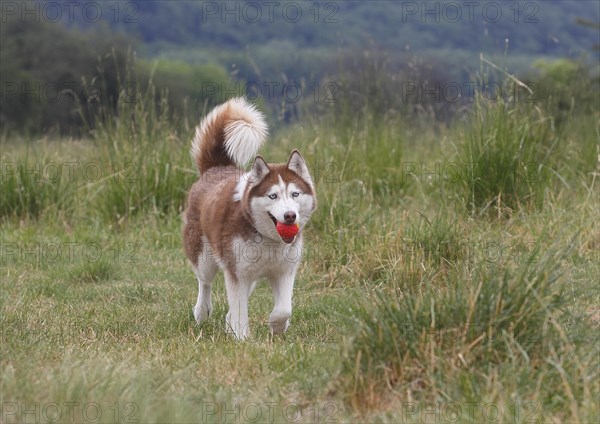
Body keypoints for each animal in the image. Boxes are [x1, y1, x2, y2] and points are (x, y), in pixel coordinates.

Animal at [183, 97, 316, 340]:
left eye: (295, 194)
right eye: (272, 196)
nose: (290, 216)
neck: (269, 240)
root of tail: (216, 168)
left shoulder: (284, 271)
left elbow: (284, 308)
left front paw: (276, 325)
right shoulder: (237, 273)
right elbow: (239, 308)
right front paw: (243, 339)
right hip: (205, 257)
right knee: (205, 282)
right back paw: (202, 312)